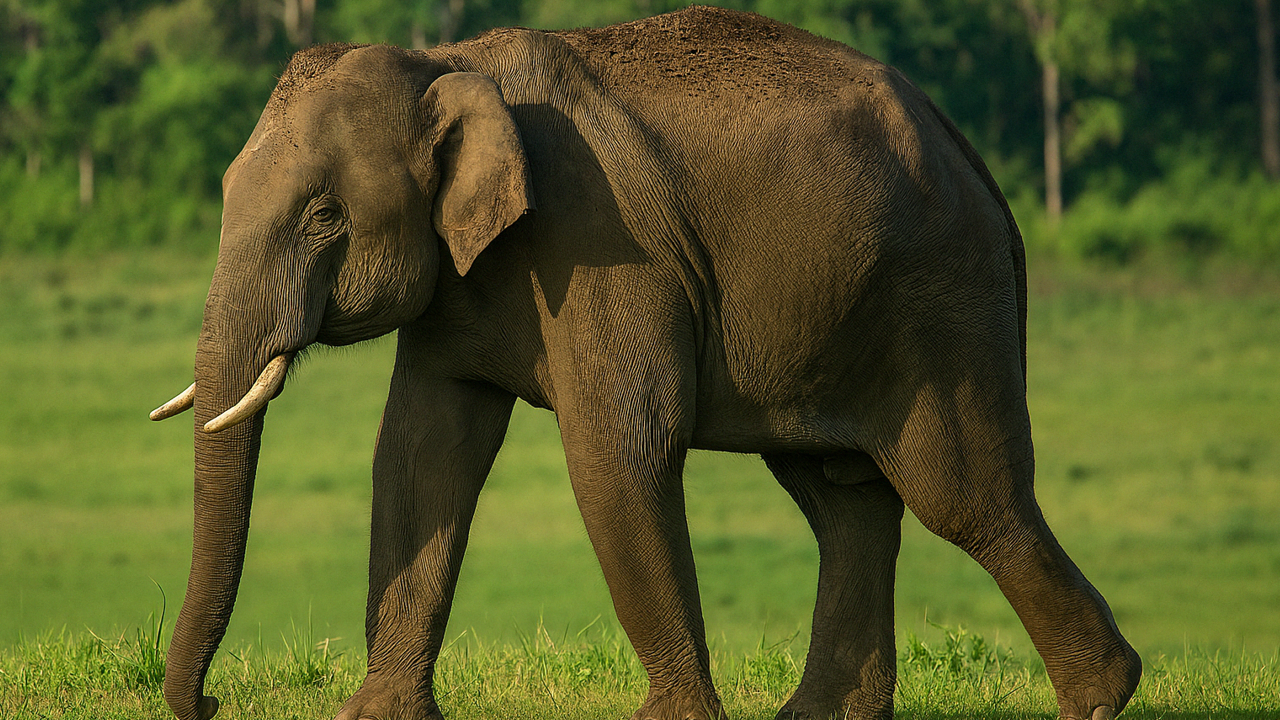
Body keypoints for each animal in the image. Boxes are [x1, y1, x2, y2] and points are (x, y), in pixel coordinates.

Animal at [149, 6, 1141, 720]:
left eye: (325, 216)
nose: (214, 702)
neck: (447, 61)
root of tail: (971, 154)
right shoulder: (462, 279)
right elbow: (421, 455)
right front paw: (374, 718)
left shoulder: (597, 243)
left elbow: (619, 452)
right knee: (844, 500)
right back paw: (821, 716)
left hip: (939, 302)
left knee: (963, 498)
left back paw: (1101, 698)